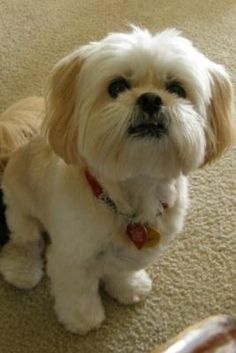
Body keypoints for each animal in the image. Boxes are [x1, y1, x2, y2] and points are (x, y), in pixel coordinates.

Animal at [0, 26, 234, 332]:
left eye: (176, 89)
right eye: (116, 87)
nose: (150, 98)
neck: (132, 192)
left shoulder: (130, 251)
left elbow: (122, 270)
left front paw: (129, 287)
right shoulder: (72, 257)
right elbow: (77, 291)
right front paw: (83, 319)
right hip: (21, 210)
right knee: (26, 241)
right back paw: (22, 269)